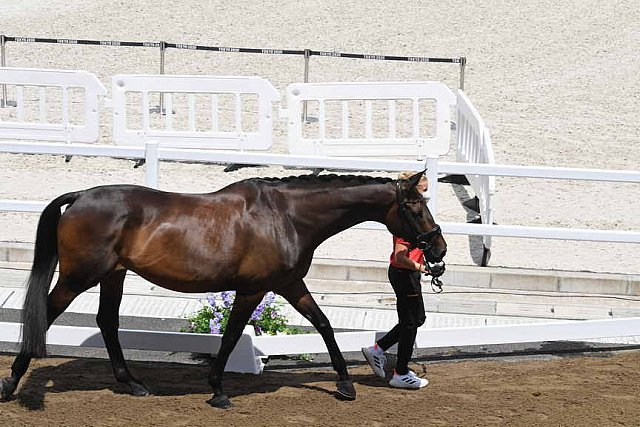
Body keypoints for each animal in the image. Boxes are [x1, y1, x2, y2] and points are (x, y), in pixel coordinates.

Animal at [0, 171, 444, 408]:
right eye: (416, 208)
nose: (439, 249)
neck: (286, 217)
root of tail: (79, 197)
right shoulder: (252, 291)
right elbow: (230, 337)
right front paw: (218, 391)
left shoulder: (289, 284)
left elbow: (324, 325)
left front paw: (346, 385)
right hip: (79, 277)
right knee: (46, 313)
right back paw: (10, 385)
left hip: (113, 275)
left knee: (107, 321)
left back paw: (134, 384)